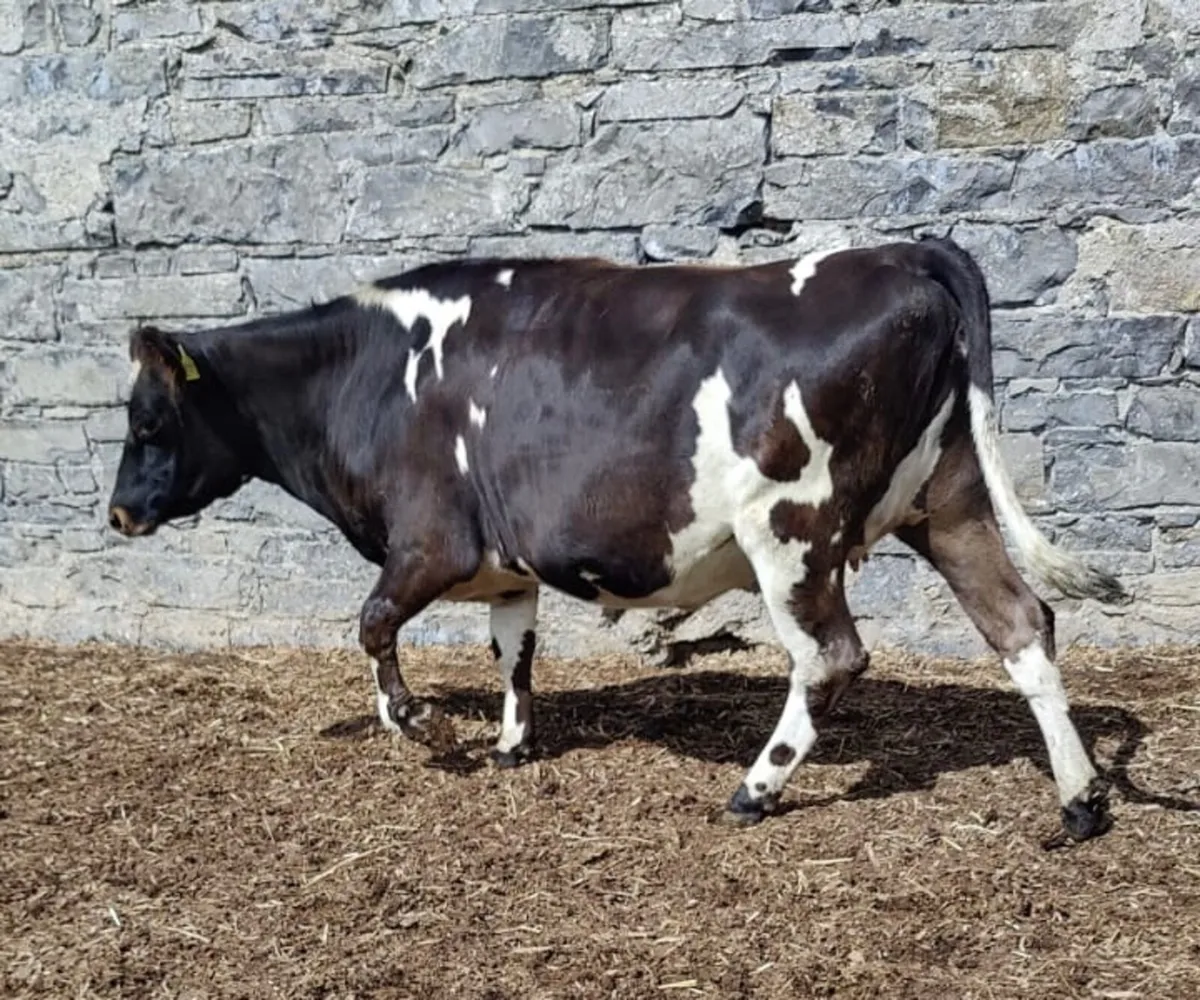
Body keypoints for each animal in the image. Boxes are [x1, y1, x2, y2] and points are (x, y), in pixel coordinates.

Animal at [107, 236, 1128, 842]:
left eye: (148, 421)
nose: (117, 512)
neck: (370, 377)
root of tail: (898, 251)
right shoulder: (503, 563)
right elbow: (513, 654)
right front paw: (512, 744)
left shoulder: (428, 543)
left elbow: (370, 627)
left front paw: (419, 723)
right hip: (948, 500)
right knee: (1022, 623)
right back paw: (1079, 801)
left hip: (791, 527)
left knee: (832, 655)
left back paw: (756, 789)